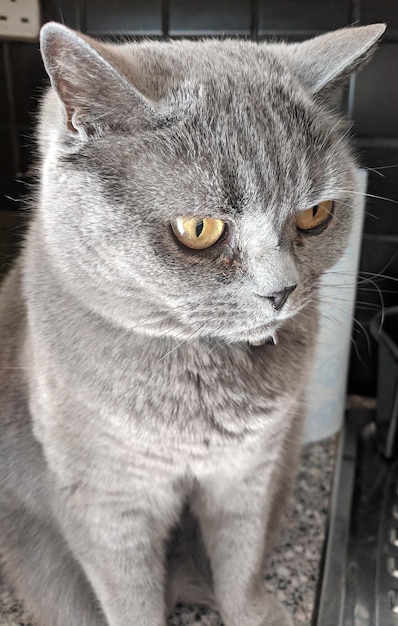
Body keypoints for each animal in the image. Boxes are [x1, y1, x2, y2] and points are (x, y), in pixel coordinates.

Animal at [0, 19, 386, 624]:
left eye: (314, 215)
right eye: (199, 229)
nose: (282, 291)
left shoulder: (250, 472)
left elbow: (240, 563)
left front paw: (253, 612)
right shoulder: (108, 499)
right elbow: (130, 598)